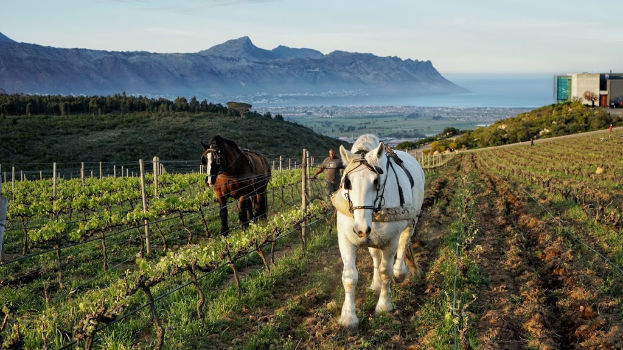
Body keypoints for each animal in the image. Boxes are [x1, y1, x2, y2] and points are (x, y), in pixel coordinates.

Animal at [334, 134, 426, 328]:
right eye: (347, 182)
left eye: (376, 181)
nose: (361, 229)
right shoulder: (346, 240)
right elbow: (349, 277)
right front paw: (348, 317)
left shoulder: (390, 242)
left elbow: (386, 271)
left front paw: (384, 305)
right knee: (375, 256)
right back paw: (375, 284)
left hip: (411, 220)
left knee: (404, 242)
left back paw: (401, 272)